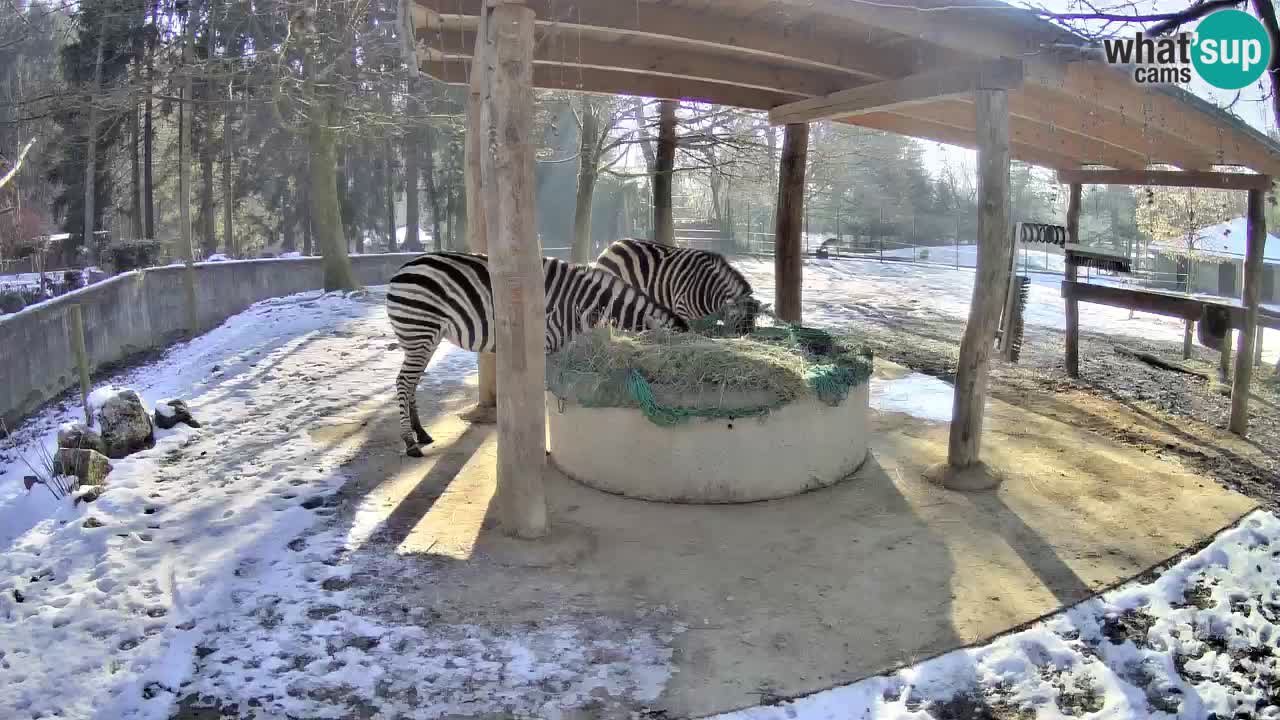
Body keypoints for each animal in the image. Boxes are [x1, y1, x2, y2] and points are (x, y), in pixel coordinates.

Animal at [384, 251, 691, 453]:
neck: (581, 305)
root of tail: (401, 269)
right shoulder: (543, 342)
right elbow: (541, 395)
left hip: (426, 338)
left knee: (411, 383)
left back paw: (422, 434)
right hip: (420, 331)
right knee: (403, 382)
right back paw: (410, 442)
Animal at [591, 238, 757, 333]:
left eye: (753, 319)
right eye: (739, 317)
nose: (746, 335)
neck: (710, 289)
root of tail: (615, 244)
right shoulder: (683, 311)